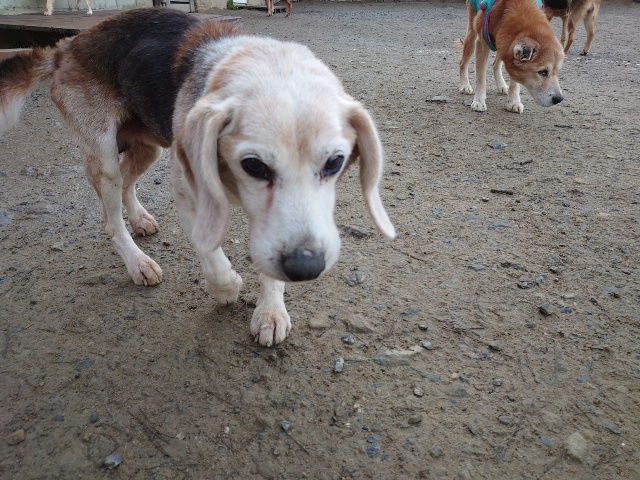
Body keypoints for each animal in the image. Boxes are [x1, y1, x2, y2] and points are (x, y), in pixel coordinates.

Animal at [0, 8, 395, 346]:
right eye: (253, 165)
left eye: (335, 162)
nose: (306, 268)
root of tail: (67, 45)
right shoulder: (190, 195)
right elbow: (212, 256)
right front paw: (226, 288)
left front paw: (270, 311)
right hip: (104, 155)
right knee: (110, 219)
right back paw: (138, 262)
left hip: (148, 148)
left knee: (127, 184)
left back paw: (140, 219)